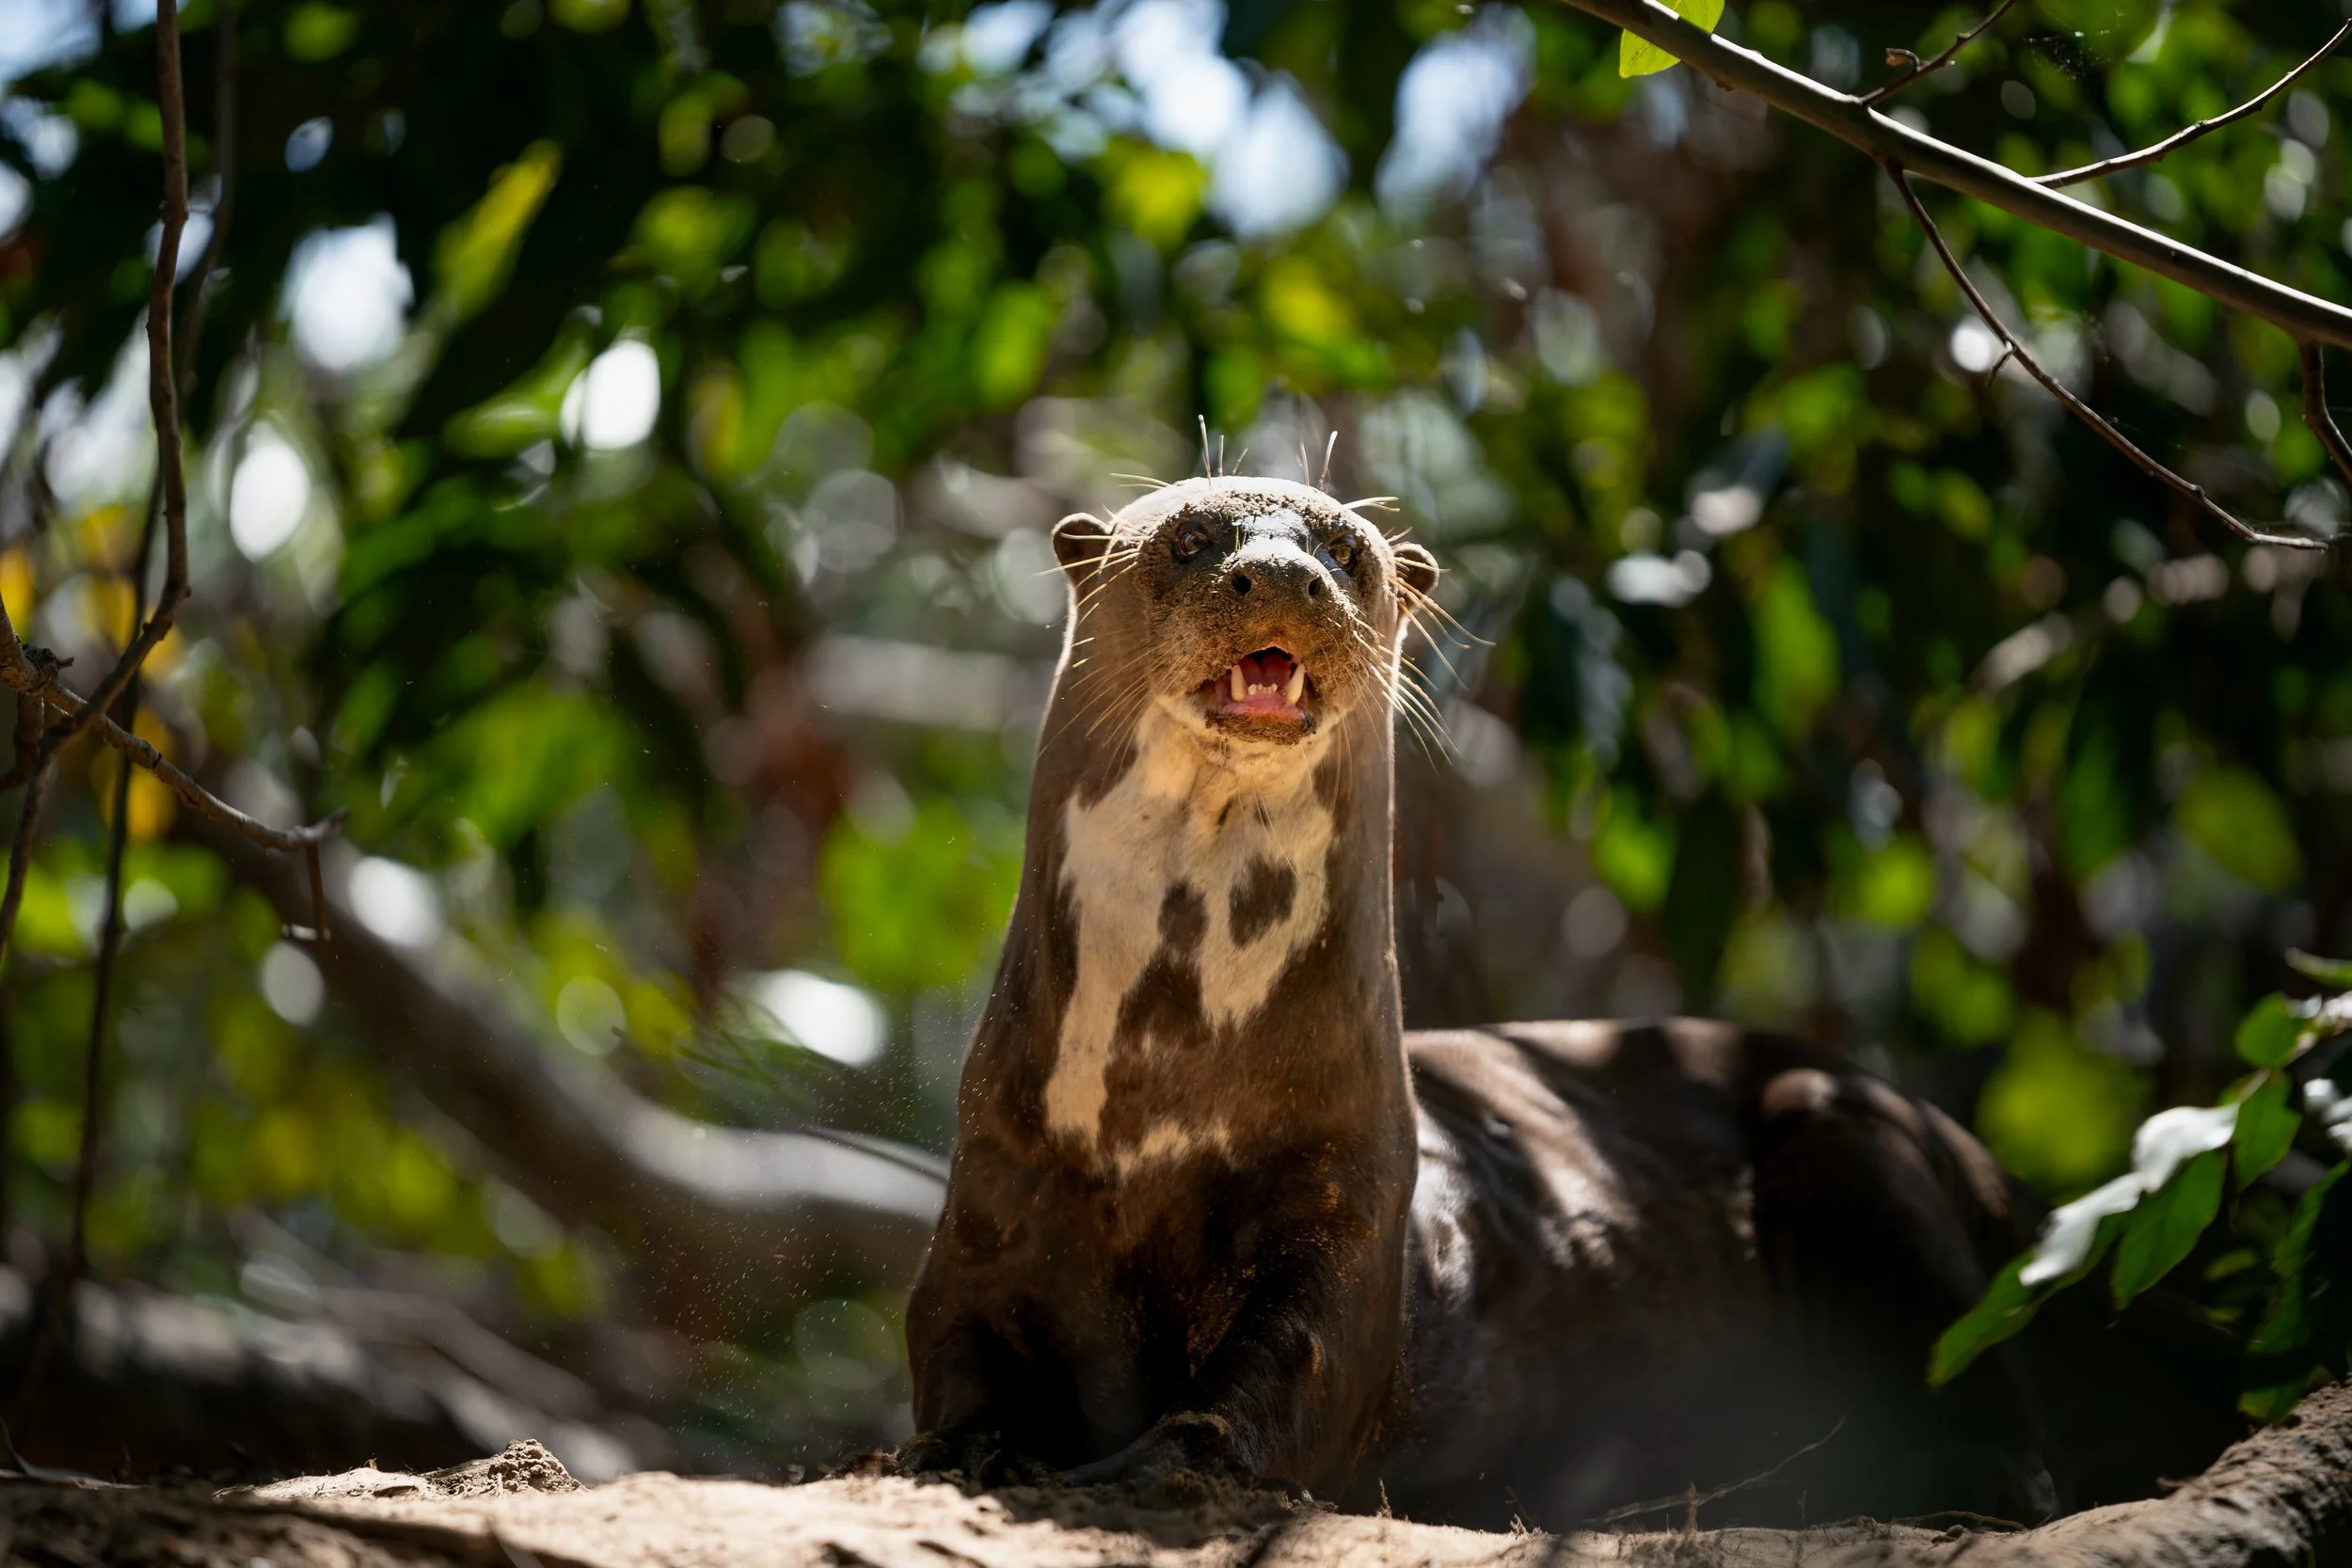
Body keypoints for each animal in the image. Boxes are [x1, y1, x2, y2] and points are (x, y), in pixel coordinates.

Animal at [901, 476, 2231, 1527]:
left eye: (1349, 552)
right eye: (1187, 536)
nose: (1280, 570)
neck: (1162, 1101)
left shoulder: (1350, 1201)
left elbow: (1281, 1382)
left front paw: (1133, 1468)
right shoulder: (991, 1197)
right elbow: (948, 1359)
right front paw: (959, 1452)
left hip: (1847, 1125)